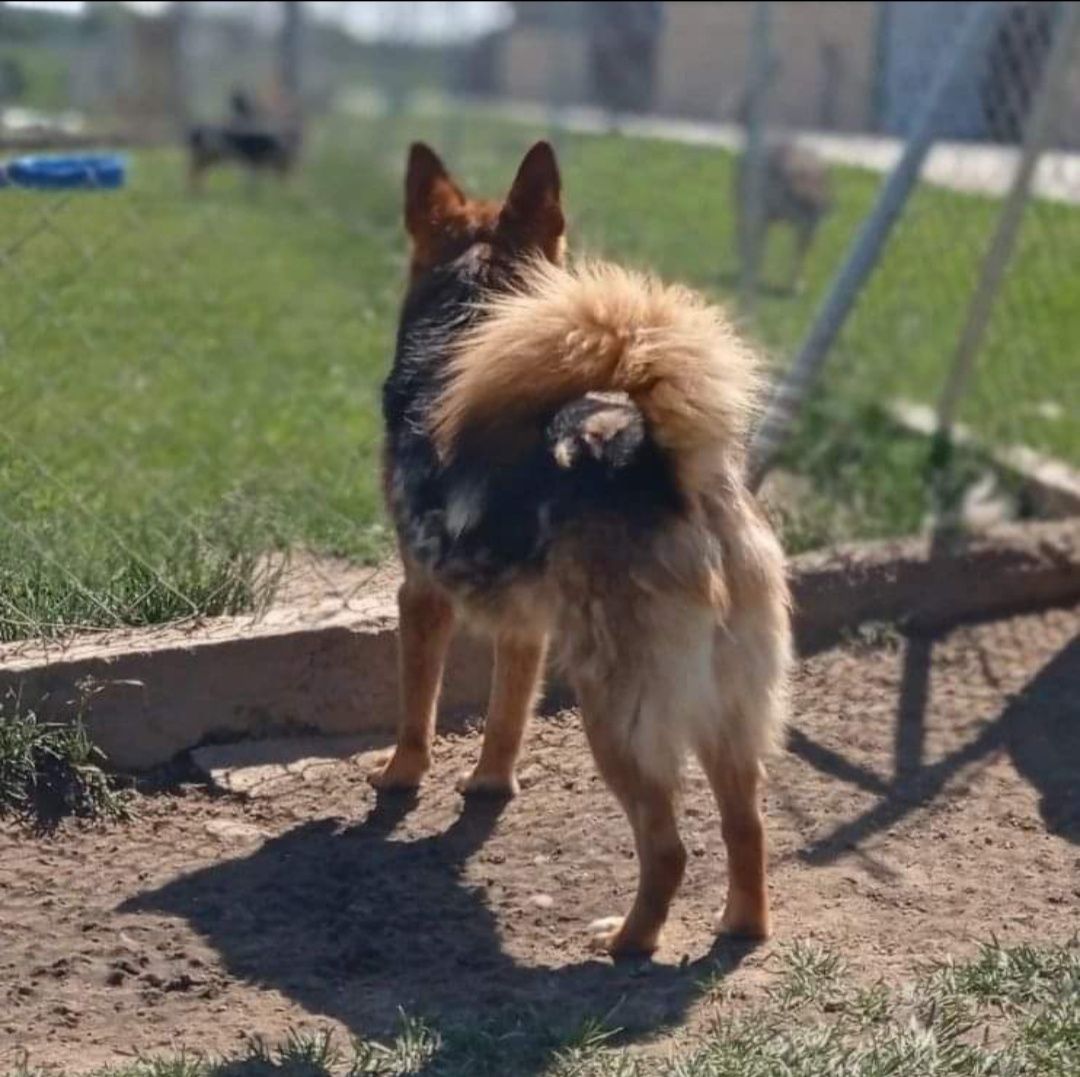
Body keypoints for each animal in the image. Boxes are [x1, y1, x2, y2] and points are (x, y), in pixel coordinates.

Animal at [373, 138, 794, 954]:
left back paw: (628, 941)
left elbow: (416, 704)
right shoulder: (525, 630)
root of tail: (670, 473)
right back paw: (741, 926)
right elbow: (505, 717)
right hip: (730, 716)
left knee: (668, 848)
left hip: (616, 713)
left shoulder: (421, 595)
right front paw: (489, 784)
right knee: (747, 828)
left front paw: (400, 776)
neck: (472, 313)